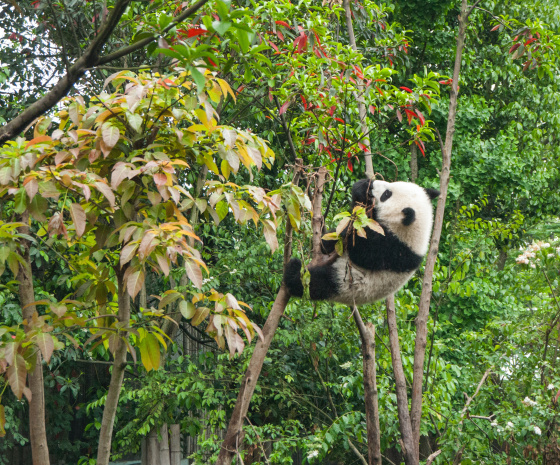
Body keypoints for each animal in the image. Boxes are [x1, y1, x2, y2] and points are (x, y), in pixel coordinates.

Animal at [284, 179, 438, 306]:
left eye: (387, 194)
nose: (374, 184)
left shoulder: (394, 250)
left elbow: (362, 252)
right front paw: (362, 188)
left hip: (345, 283)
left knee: (316, 283)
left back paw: (293, 270)